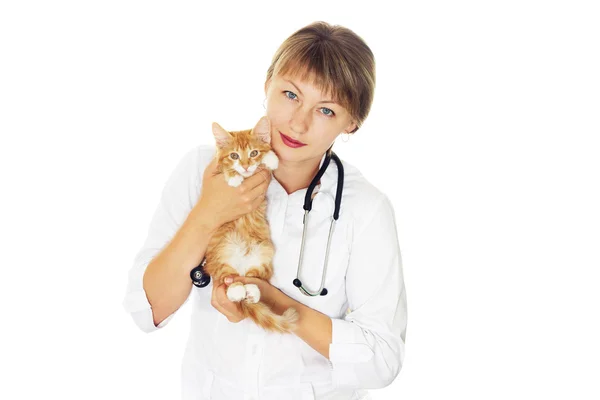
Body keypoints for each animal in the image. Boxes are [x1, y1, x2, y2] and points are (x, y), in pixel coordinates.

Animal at [204, 116, 300, 334]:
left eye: (253, 153)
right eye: (234, 156)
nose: (246, 166)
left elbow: (269, 158)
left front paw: (271, 158)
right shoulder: (216, 167)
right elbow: (224, 168)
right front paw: (233, 177)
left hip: (264, 251)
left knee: (255, 276)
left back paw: (251, 291)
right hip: (220, 254)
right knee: (226, 276)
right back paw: (236, 290)